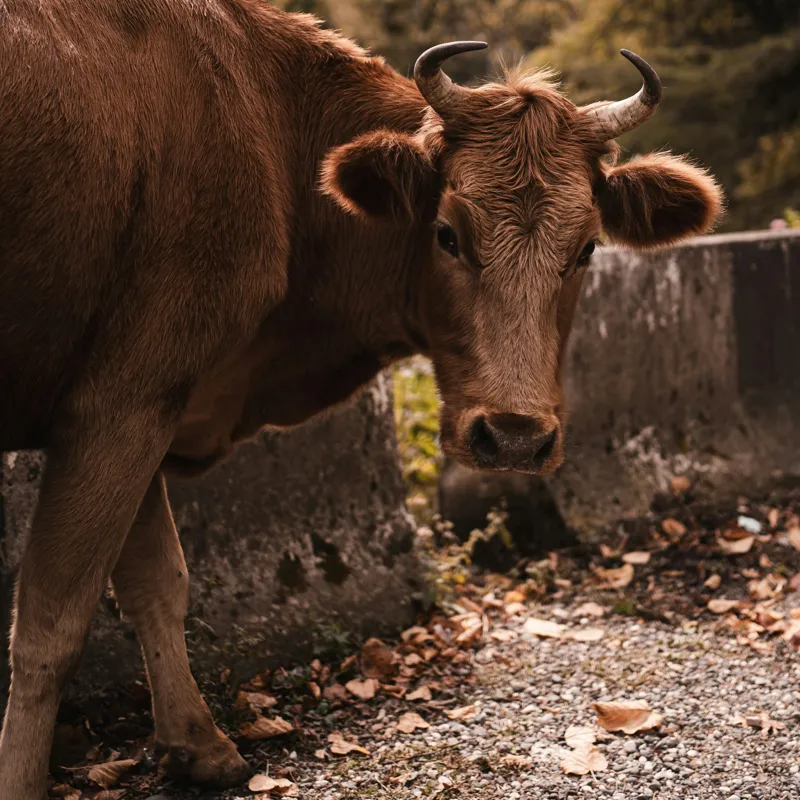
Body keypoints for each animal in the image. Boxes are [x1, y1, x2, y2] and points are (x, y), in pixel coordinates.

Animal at [0, 2, 722, 797]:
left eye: (588, 248)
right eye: (447, 233)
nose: (515, 436)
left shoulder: (143, 407)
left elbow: (157, 580)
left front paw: (200, 745)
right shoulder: (119, 405)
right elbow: (50, 627)